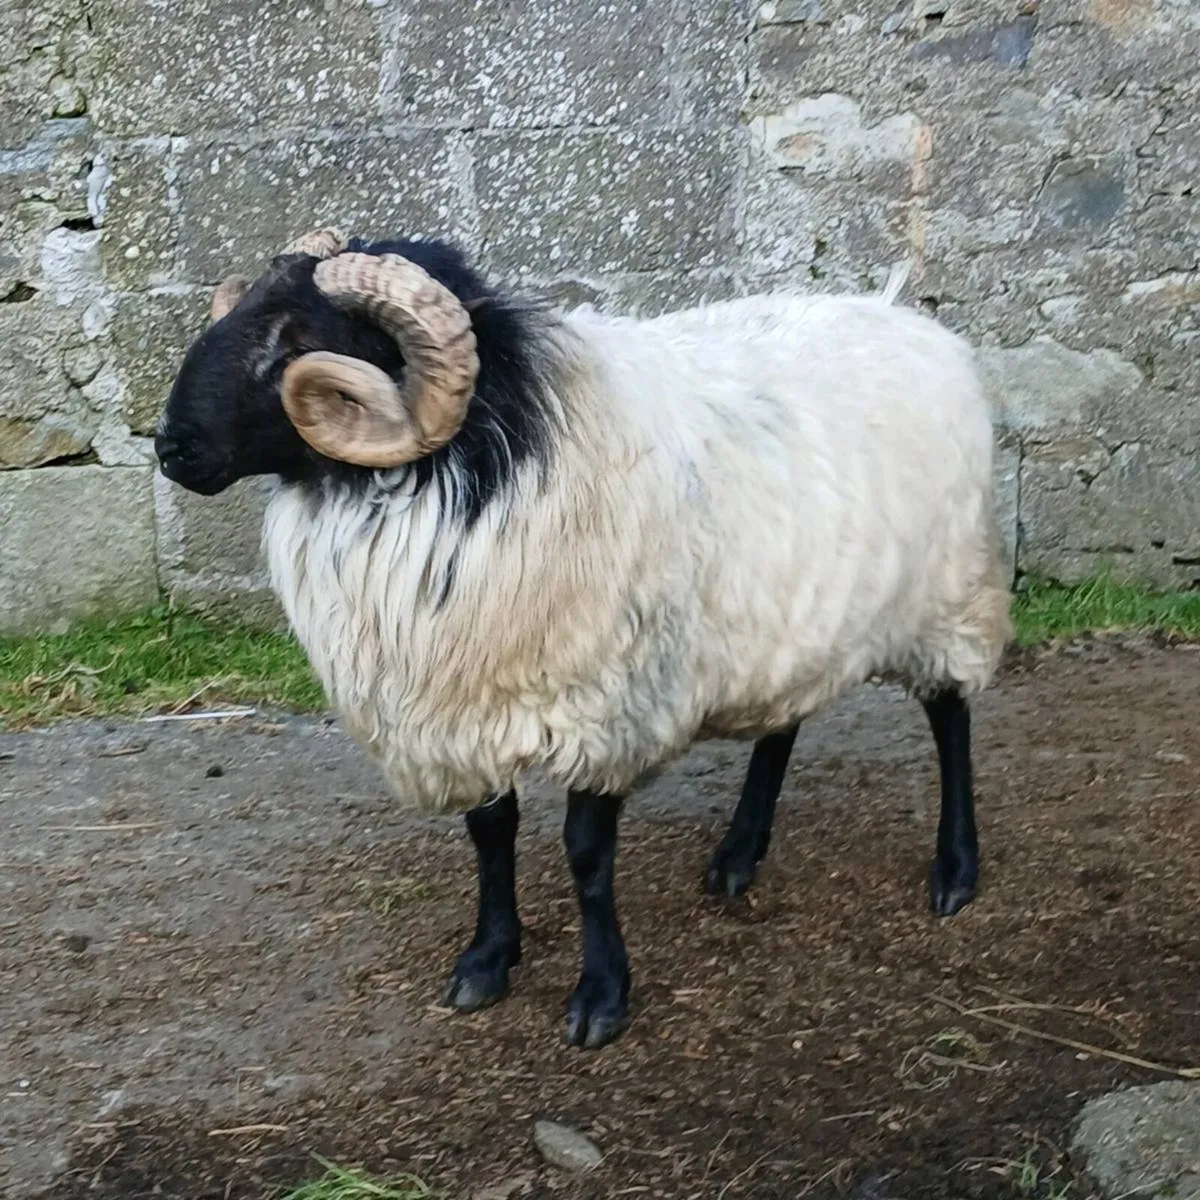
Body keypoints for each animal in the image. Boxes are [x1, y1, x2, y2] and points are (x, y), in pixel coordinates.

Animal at [155, 227, 1012, 1050]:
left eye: (295, 340)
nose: (169, 446)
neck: (475, 459)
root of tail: (907, 317)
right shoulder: (463, 703)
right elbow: (489, 833)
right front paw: (487, 959)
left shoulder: (604, 700)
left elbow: (587, 855)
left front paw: (600, 996)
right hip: (794, 613)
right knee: (784, 724)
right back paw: (739, 854)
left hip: (947, 591)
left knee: (950, 717)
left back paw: (955, 869)